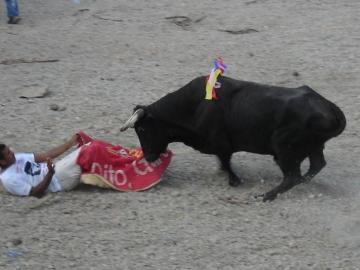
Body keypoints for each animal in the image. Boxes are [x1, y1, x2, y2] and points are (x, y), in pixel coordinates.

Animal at [121, 75, 346, 200]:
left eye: (142, 129)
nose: (148, 157)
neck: (193, 107)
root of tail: (330, 109)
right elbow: (224, 162)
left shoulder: (221, 143)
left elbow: (226, 161)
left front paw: (235, 180)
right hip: (313, 146)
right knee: (315, 165)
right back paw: (303, 183)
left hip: (284, 148)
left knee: (292, 177)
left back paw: (266, 196)